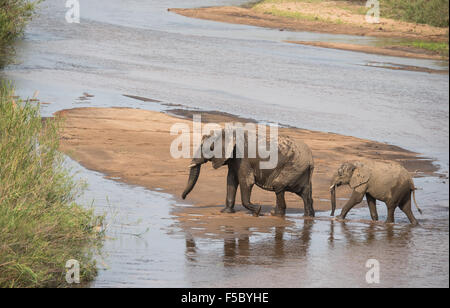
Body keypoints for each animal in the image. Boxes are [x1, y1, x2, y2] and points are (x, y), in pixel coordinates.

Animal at [181, 129, 314, 218]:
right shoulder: (234, 159)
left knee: (279, 186)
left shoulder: (243, 158)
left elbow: (246, 182)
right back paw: (308, 217)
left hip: (293, 167)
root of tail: (311, 159)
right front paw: (225, 212)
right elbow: (231, 180)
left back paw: (274, 214)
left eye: (208, 148)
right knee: (305, 194)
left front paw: (257, 211)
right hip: (301, 171)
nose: (183, 198)